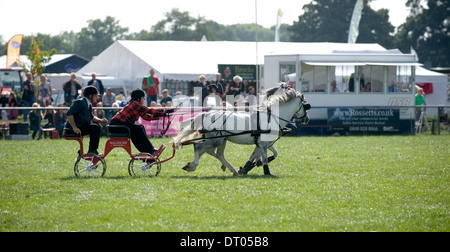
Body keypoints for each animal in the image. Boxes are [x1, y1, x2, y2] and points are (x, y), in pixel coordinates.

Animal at [172, 82, 310, 175]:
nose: (307, 119)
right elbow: (265, 157)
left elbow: (265, 155)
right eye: (306, 105)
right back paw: (194, 165)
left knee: (216, 153)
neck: (272, 116)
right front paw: (266, 171)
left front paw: (247, 168)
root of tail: (207, 114)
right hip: (215, 140)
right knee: (198, 146)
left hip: (221, 140)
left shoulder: (264, 143)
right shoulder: (264, 143)